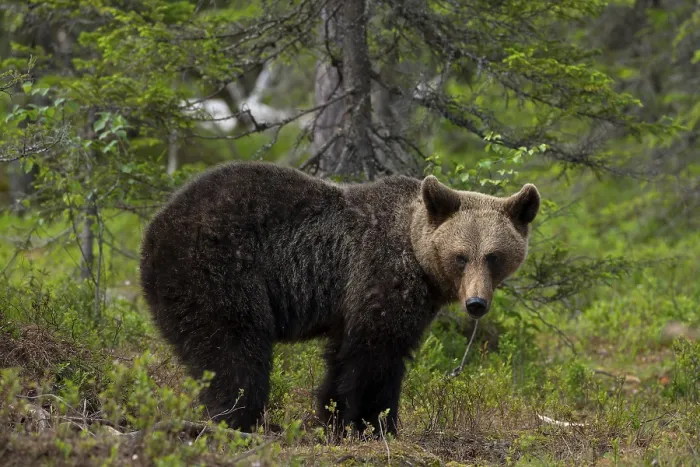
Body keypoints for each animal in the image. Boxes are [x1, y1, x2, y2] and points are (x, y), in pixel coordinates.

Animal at [139, 160, 540, 436]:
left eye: (493, 256)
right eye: (461, 256)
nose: (476, 303)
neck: (418, 259)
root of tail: (154, 228)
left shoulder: (353, 303)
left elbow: (344, 357)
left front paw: (333, 418)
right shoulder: (378, 274)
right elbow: (374, 356)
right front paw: (370, 424)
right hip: (218, 270)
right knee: (234, 350)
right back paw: (239, 420)